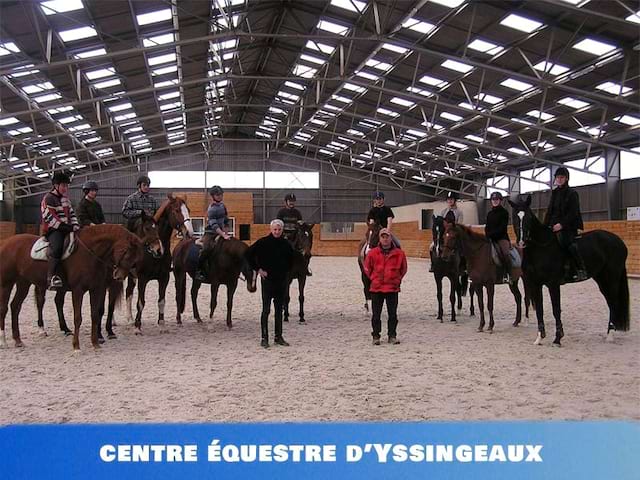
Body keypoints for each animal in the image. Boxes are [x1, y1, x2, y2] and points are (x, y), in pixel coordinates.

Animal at [0, 225, 142, 348]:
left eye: (135, 258)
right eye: (126, 253)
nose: (119, 276)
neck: (89, 252)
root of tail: (6, 242)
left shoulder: (96, 289)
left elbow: (95, 315)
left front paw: (95, 343)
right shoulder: (78, 290)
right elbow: (77, 318)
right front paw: (76, 346)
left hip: (23, 283)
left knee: (15, 306)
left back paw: (18, 340)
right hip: (7, 284)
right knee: (5, 308)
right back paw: (4, 341)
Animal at [125, 193, 194, 332]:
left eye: (188, 210)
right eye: (176, 210)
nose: (189, 232)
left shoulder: (164, 277)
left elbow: (161, 301)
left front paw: (161, 324)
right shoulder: (142, 278)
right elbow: (141, 302)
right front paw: (137, 326)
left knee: (128, 292)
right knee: (125, 293)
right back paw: (125, 320)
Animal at [510, 195, 632, 344]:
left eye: (528, 217)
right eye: (514, 217)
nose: (522, 241)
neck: (541, 248)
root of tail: (619, 242)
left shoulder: (553, 284)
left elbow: (556, 309)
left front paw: (558, 338)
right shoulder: (535, 284)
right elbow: (539, 309)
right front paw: (539, 338)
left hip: (612, 277)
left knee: (613, 302)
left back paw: (610, 335)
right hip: (601, 279)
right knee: (610, 302)